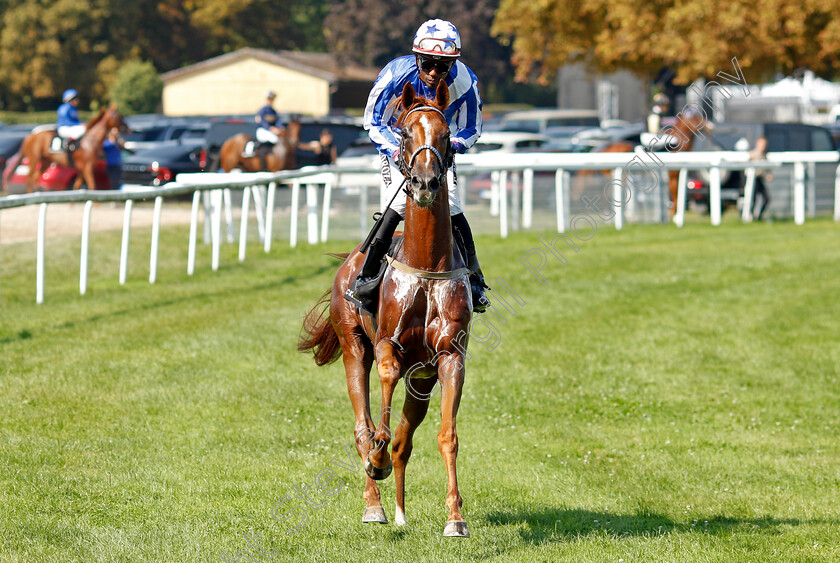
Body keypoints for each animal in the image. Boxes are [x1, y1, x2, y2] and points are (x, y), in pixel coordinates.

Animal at [300, 80, 472, 536]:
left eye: (445, 135)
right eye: (406, 133)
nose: (427, 182)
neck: (426, 264)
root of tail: (347, 261)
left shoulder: (449, 357)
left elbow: (446, 436)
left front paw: (455, 518)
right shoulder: (386, 345)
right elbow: (380, 414)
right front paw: (373, 459)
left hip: (423, 380)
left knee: (403, 443)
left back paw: (399, 511)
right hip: (354, 346)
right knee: (363, 424)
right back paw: (375, 503)